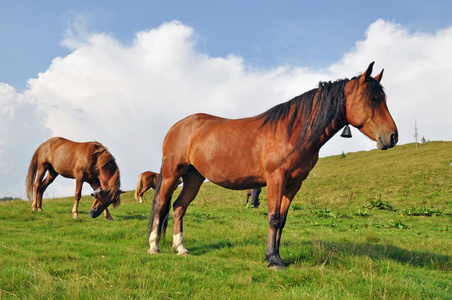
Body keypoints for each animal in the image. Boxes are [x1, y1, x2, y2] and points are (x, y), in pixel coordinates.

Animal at [147, 62, 398, 268]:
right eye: (372, 99)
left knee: (179, 206)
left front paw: (276, 256)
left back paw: (181, 248)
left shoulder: (293, 184)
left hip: (194, 177)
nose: (392, 137)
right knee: (160, 204)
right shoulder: (276, 179)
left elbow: (282, 221)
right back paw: (153, 246)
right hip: (172, 174)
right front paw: (273, 259)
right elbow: (273, 218)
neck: (293, 131)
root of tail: (178, 126)